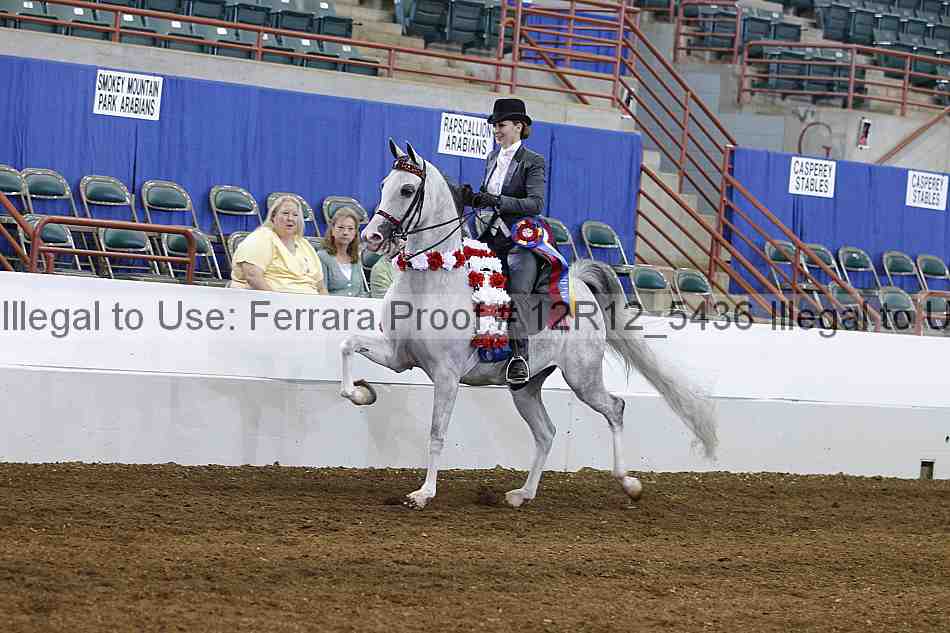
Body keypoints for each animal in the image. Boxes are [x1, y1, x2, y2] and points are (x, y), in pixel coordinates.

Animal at [339, 140, 718, 509]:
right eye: (383, 185)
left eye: (406, 189)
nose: (371, 237)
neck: (433, 277)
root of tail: (579, 284)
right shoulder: (398, 356)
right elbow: (348, 344)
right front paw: (360, 392)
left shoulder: (447, 375)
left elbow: (436, 433)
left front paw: (423, 494)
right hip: (526, 386)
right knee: (546, 432)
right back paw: (523, 494)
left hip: (582, 377)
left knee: (614, 409)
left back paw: (629, 484)